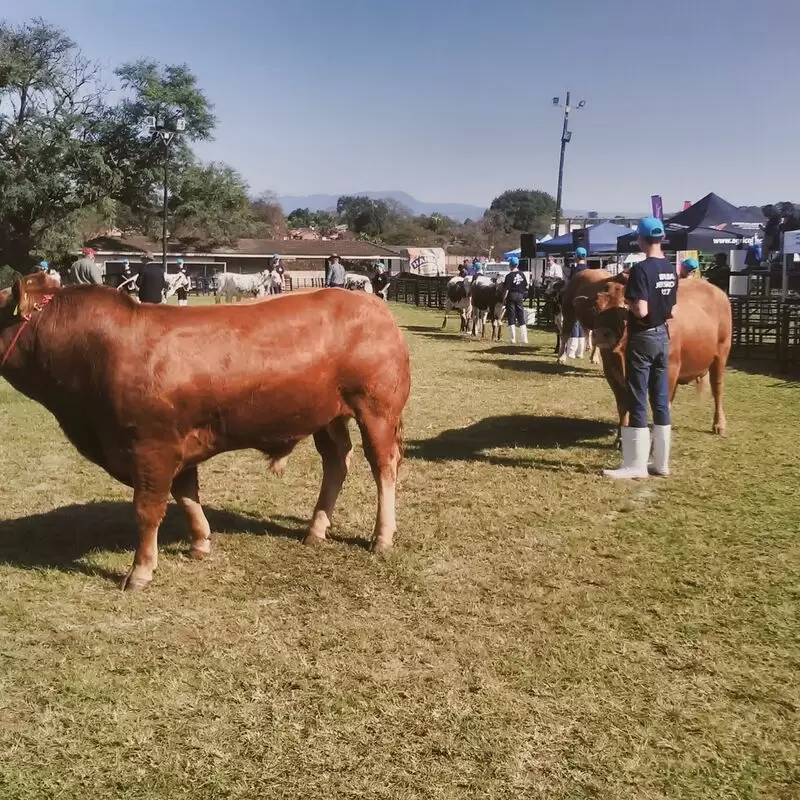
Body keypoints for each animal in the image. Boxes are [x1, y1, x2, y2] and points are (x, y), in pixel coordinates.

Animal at [0, 272, 410, 592]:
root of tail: (372, 303)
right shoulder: (176, 445)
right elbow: (186, 495)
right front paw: (200, 542)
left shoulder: (151, 446)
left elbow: (148, 509)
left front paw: (140, 571)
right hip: (326, 415)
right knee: (336, 461)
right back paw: (316, 529)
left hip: (377, 409)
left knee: (383, 465)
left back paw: (382, 536)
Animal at [576, 276, 732, 438]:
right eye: (595, 307)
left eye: (623, 308)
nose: (600, 334)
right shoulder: (612, 373)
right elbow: (623, 406)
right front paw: (621, 437)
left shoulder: (668, 371)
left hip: (721, 354)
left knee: (717, 388)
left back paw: (719, 424)